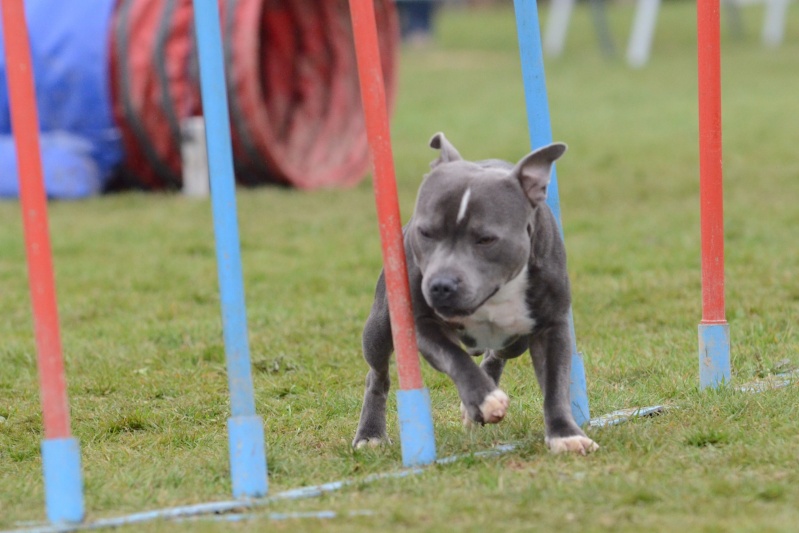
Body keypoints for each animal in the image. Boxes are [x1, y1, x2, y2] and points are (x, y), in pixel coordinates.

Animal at [354, 132, 596, 454]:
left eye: (486, 239)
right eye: (425, 232)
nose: (441, 285)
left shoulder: (552, 327)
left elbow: (556, 385)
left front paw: (564, 434)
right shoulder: (420, 323)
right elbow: (455, 358)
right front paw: (484, 398)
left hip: (515, 340)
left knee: (497, 355)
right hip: (380, 327)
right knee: (377, 375)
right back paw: (371, 433)